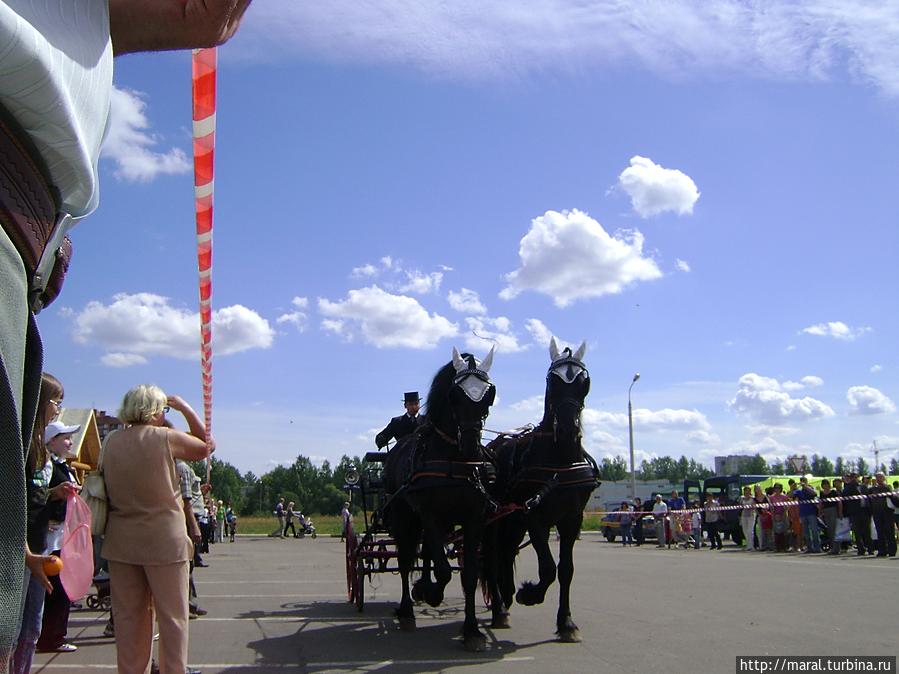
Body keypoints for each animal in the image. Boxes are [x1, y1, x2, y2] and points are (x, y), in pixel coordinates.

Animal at [382, 344, 500, 648]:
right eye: (454, 395)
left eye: (488, 395)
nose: (470, 446)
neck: (453, 460)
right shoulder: (429, 514)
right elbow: (443, 569)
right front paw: (432, 593)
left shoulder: (473, 518)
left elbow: (468, 573)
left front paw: (472, 630)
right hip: (404, 517)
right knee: (405, 559)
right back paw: (407, 610)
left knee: (425, 553)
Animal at [486, 338, 596, 636]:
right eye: (552, 381)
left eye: (584, 381)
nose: (569, 430)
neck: (560, 461)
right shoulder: (534, 516)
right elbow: (547, 568)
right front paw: (530, 594)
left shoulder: (572, 519)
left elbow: (566, 569)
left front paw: (566, 622)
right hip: (497, 519)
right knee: (492, 555)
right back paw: (500, 608)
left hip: (512, 521)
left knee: (505, 552)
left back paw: (505, 598)